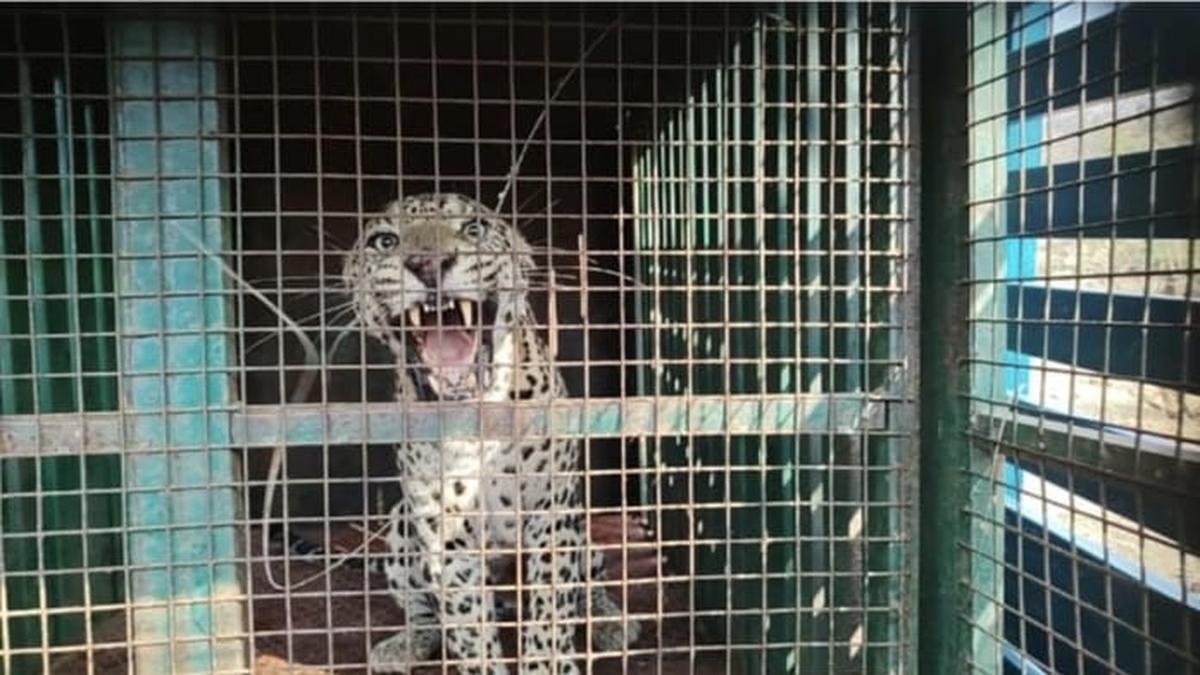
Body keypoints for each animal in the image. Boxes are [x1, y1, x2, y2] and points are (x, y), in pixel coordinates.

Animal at [342, 192, 638, 674]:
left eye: (473, 229)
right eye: (384, 241)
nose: (427, 263)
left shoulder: (553, 514)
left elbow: (553, 611)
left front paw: (550, 663)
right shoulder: (443, 535)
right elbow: (467, 626)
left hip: (582, 530)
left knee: (589, 584)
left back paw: (612, 623)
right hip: (402, 530)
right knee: (424, 612)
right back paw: (404, 645)